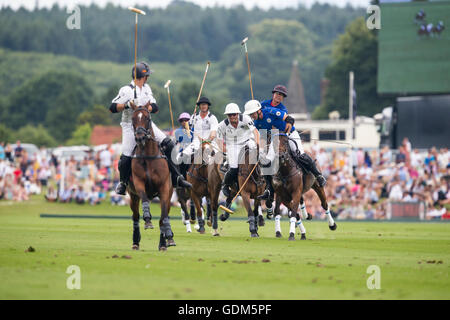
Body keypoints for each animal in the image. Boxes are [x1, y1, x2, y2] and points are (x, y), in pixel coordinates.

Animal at [128, 106, 176, 251]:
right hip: (132, 196)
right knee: (135, 216)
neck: (149, 156)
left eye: (147, 118)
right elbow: (144, 199)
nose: (140, 137)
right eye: (133, 118)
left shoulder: (164, 188)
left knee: (164, 215)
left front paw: (166, 239)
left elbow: (163, 216)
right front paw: (148, 219)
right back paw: (135, 242)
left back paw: (166, 240)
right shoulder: (138, 183)